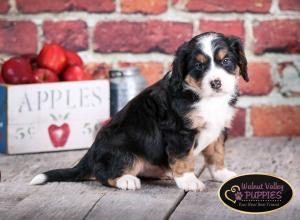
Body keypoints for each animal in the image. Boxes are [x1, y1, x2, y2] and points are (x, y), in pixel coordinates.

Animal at [31, 31, 248, 192]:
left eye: (226, 60)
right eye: (198, 65)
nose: (216, 83)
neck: (205, 98)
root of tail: (91, 152)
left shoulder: (218, 129)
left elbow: (216, 155)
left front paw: (222, 174)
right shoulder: (178, 131)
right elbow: (183, 157)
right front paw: (189, 181)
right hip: (124, 151)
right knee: (103, 174)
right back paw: (126, 180)